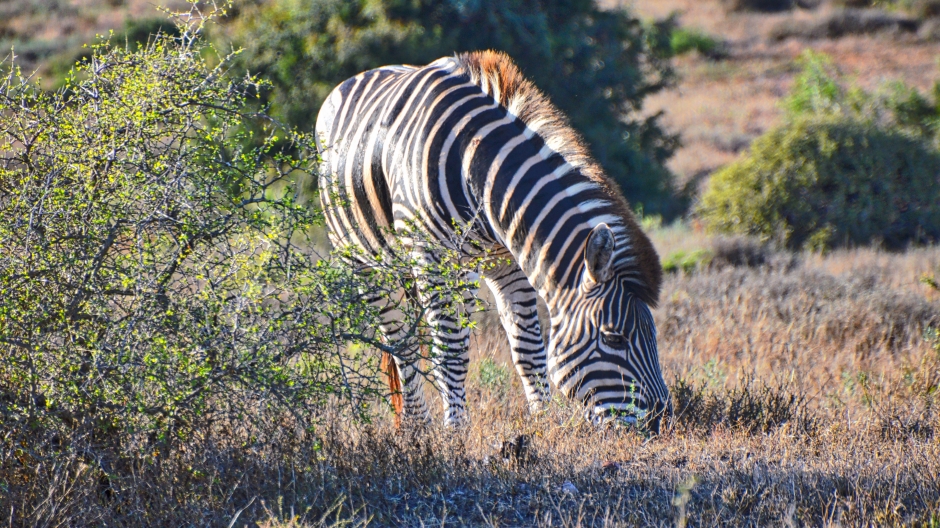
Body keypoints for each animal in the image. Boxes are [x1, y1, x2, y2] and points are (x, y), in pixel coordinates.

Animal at [320, 49, 672, 432]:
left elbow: (528, 348)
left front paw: (543, 422)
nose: (663, 422)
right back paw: (417, 427)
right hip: (362, 260)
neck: (478, 170)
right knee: (402, 343)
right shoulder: (432, 259)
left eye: (654, 335)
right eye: (613, 338)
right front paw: (456, 432)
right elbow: (452, 351)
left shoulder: (506, 260)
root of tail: (356, 77)